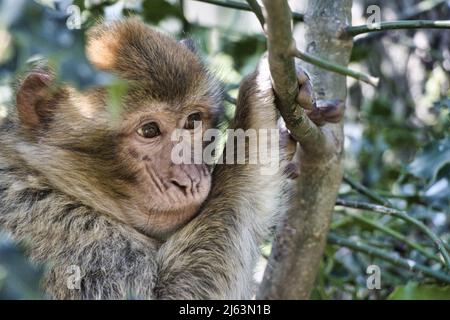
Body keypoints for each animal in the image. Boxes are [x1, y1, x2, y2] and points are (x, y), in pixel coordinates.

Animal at [0, 17, 342, 298]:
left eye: (192, 121)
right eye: (149, 130)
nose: (190, 180)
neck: (48, 178)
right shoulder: (60, 233)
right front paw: (256, 99)